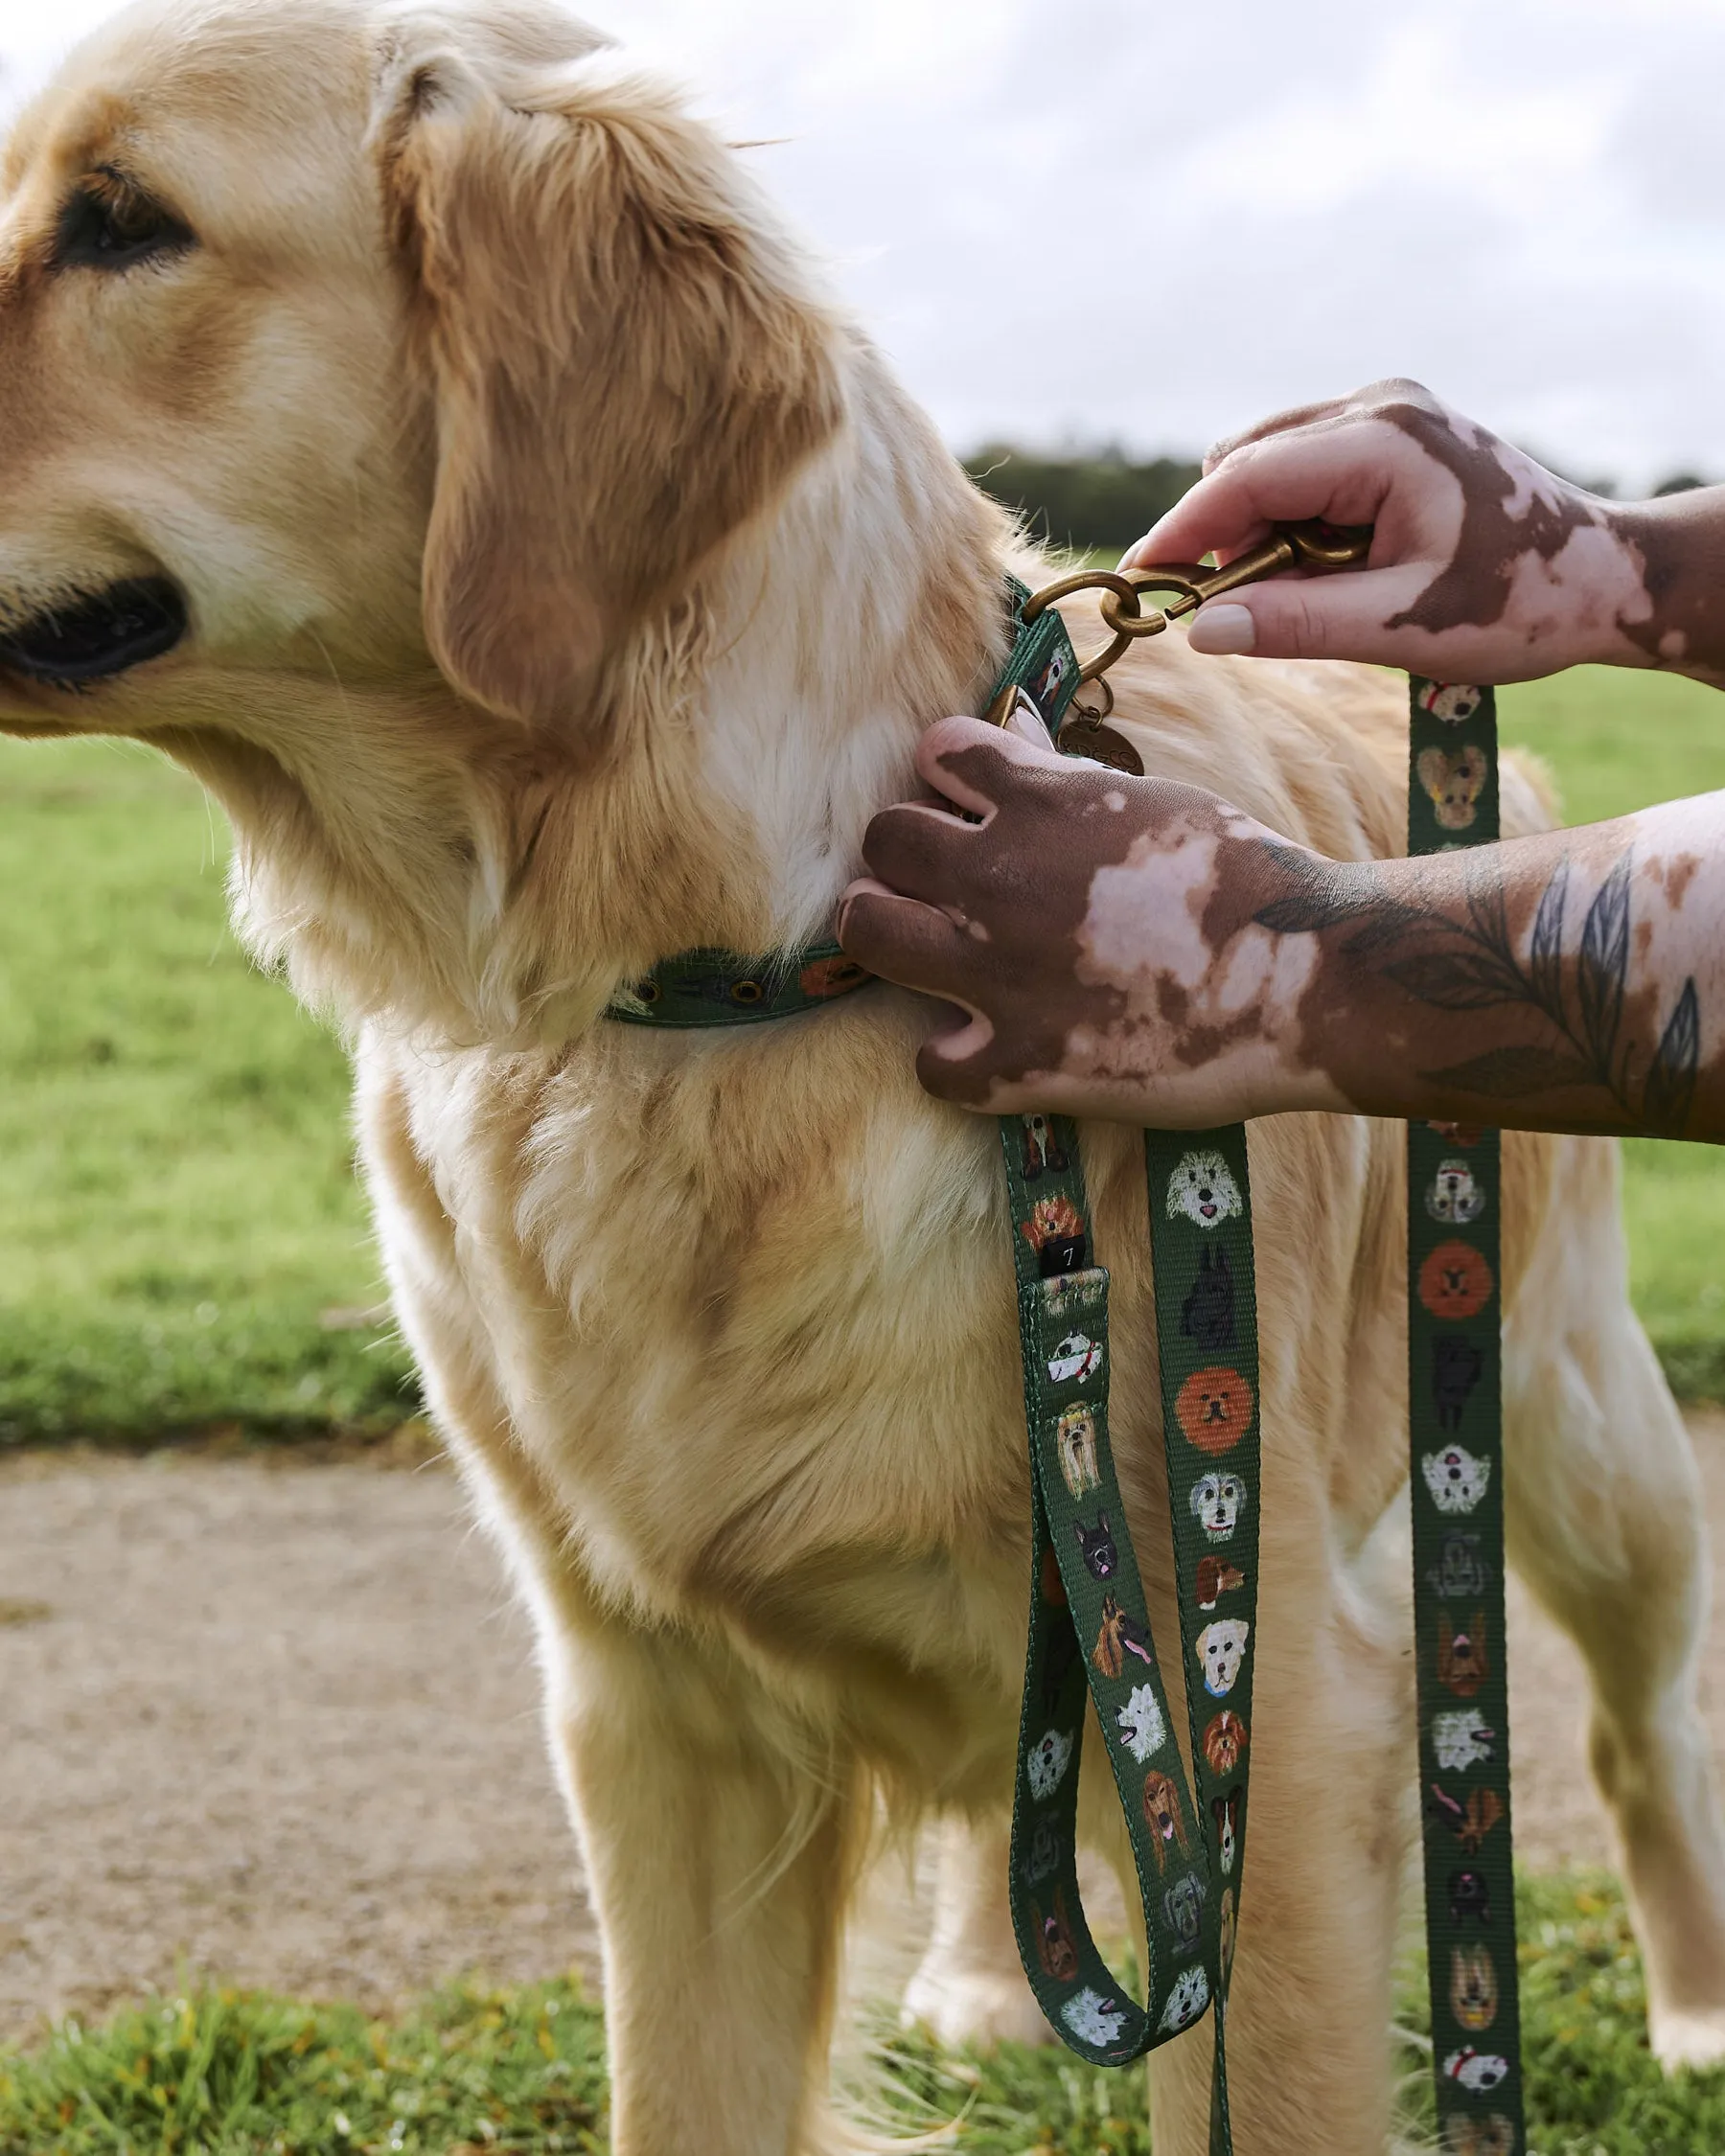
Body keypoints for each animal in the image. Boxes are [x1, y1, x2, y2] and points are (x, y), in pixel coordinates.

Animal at [3, 0, 1725, 2147]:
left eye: (123, 221)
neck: (750, 962)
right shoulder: (654, 1710)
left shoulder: (1278, 1717)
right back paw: (990, 1984)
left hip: (1574, 1429)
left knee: (1647, 1732)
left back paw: (1696, 2014)